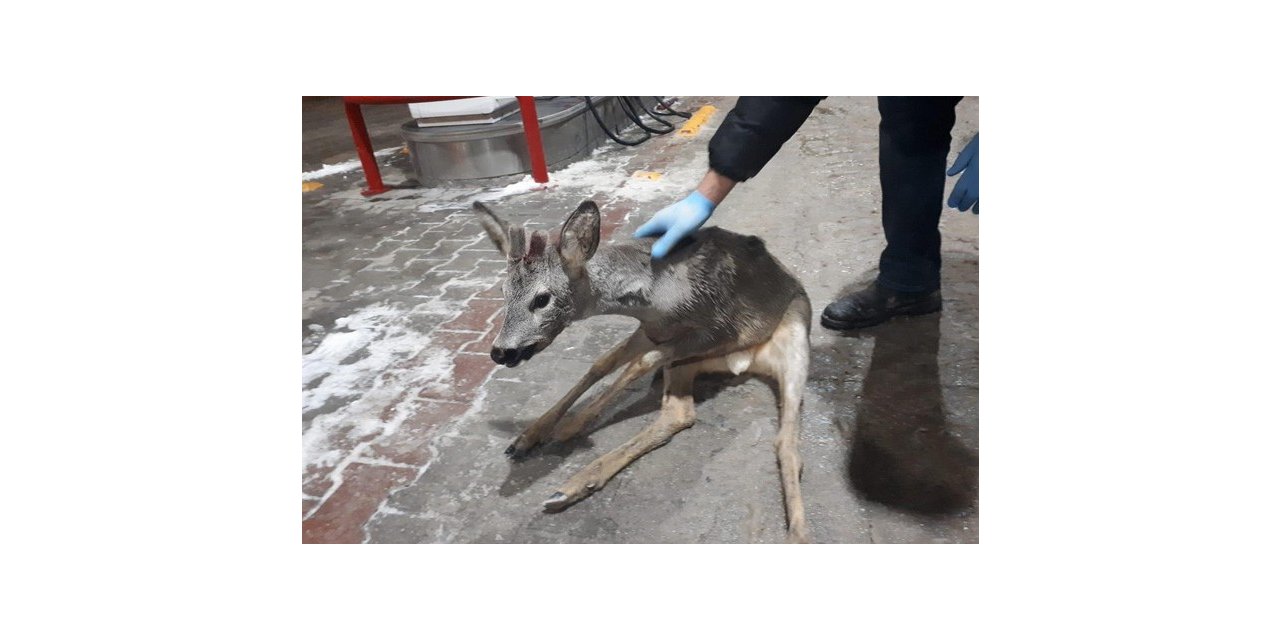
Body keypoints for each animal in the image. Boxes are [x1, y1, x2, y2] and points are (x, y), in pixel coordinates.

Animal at [474, 199, 812, 543]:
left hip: (795, 334)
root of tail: (742, 363)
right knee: (679, 414)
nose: (500, 351)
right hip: (684, 366)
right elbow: (603, 363)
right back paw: (572, 487)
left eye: (541, 299)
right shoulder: (653, 332)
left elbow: (640, 362)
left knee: (787, 443)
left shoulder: (722, 330)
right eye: (503, 292)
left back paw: (798, 534)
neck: (657, 297)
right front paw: (529, 435)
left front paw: (572, 425)